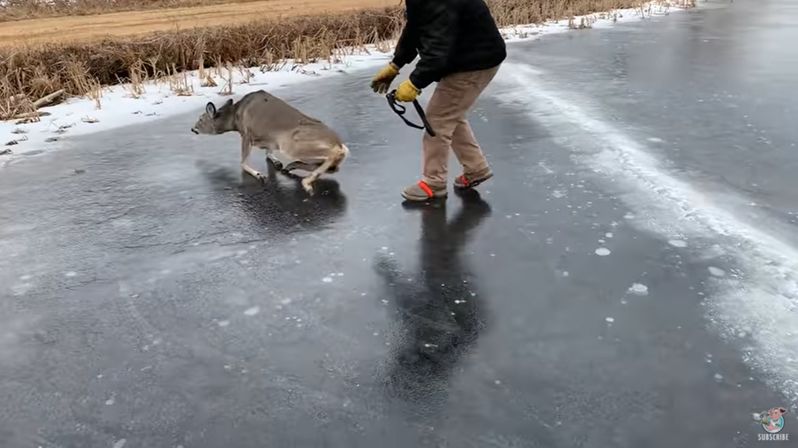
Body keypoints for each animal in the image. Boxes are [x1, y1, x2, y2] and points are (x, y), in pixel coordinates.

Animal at [191, 89, 350, 194]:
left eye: (201, 119)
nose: (193, 129)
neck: (235, 118)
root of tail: (338, 142)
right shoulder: (269, 139)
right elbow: (268, 152)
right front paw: (276, 162)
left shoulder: (247, 134)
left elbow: (242, 162)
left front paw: (259, 174)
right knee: (334, 167)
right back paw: (291, 166)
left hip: (292, 144)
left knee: (335, 155)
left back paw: (306, 183)